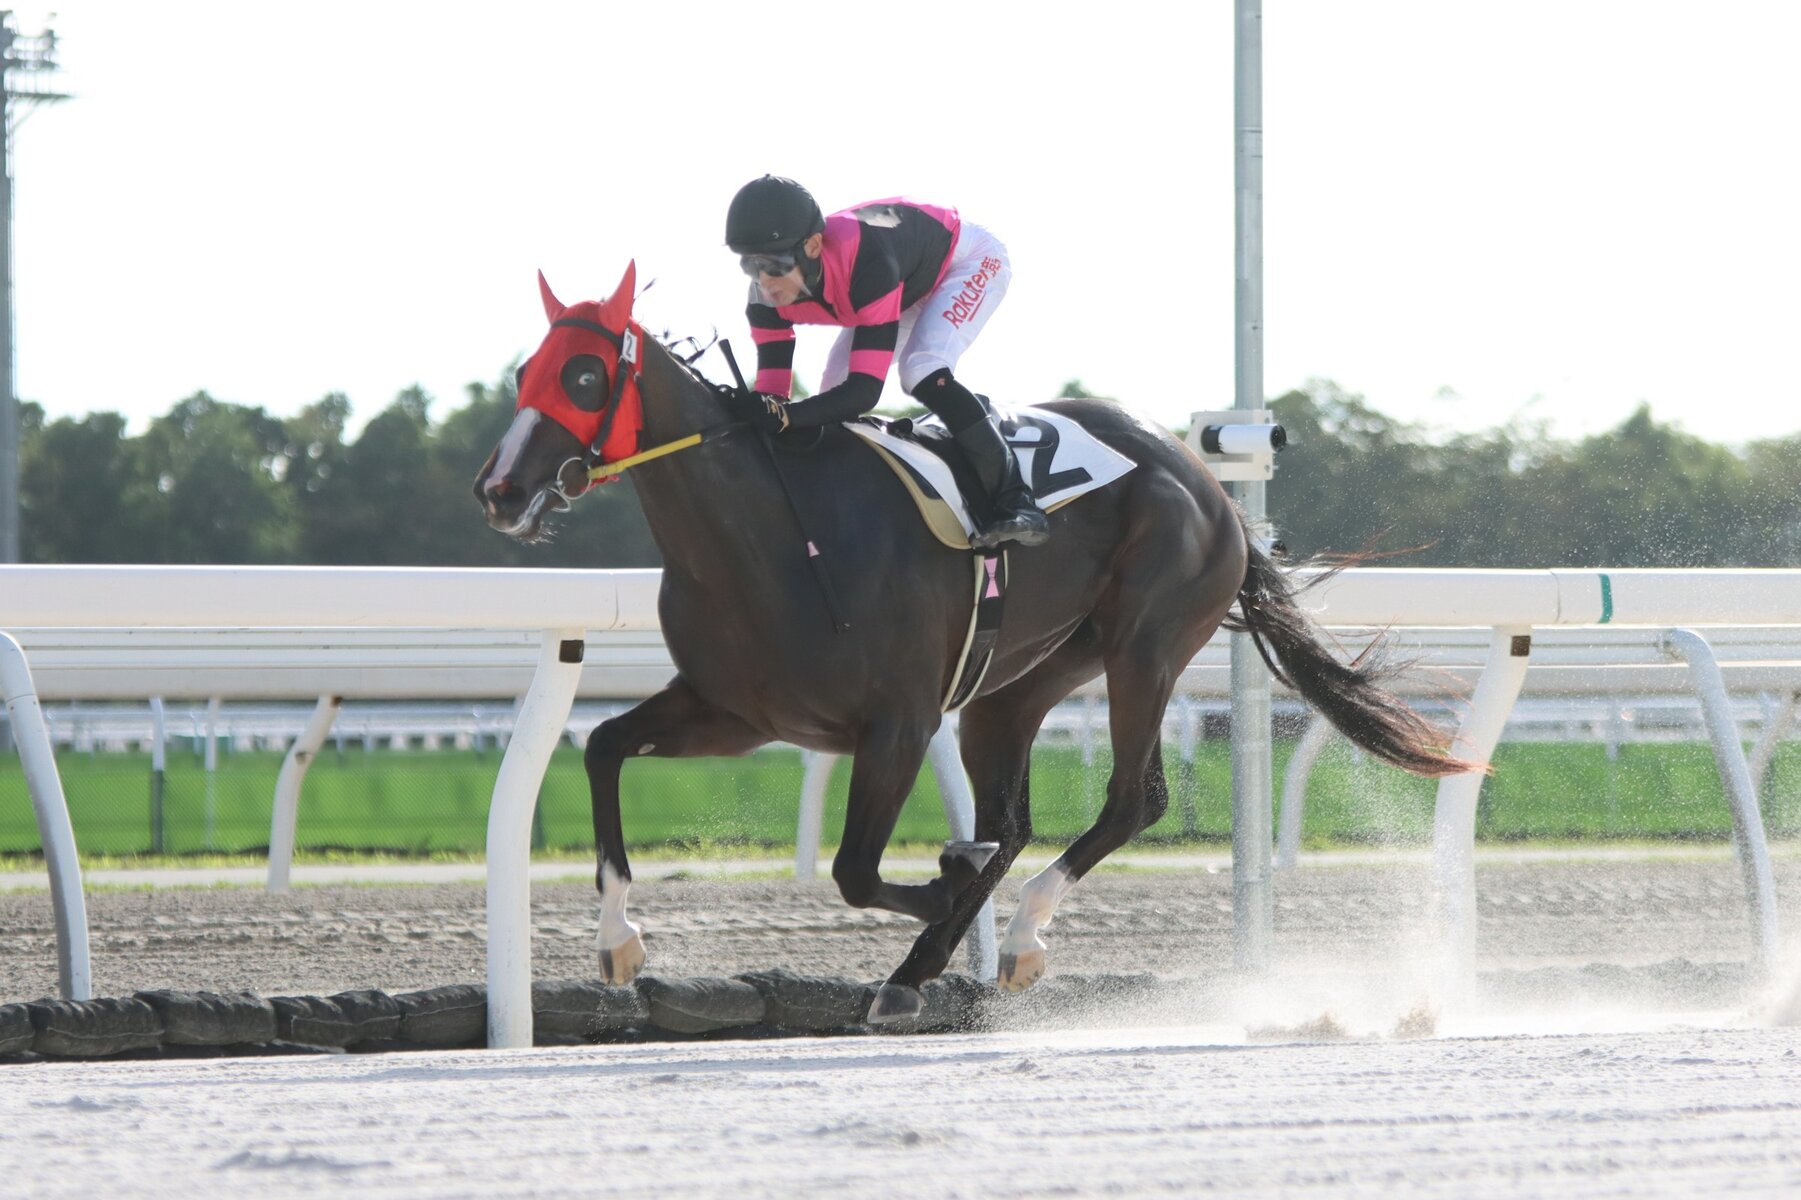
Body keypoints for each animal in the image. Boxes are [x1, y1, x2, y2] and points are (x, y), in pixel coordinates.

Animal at [474, 262, 1473, 1022]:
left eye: (584, 378)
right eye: (526, 370)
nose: (499, 489)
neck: (769, 537)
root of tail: (1204, 480)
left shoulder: (897, 723)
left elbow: (856, 870)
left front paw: (947, 888)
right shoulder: (738, 711)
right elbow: (603, 748)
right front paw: (618, 941)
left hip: (1145, 646)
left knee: (1130, 800)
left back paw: (1013, 936)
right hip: (1017, 680)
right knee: (1016, 820)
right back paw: (925, 963)